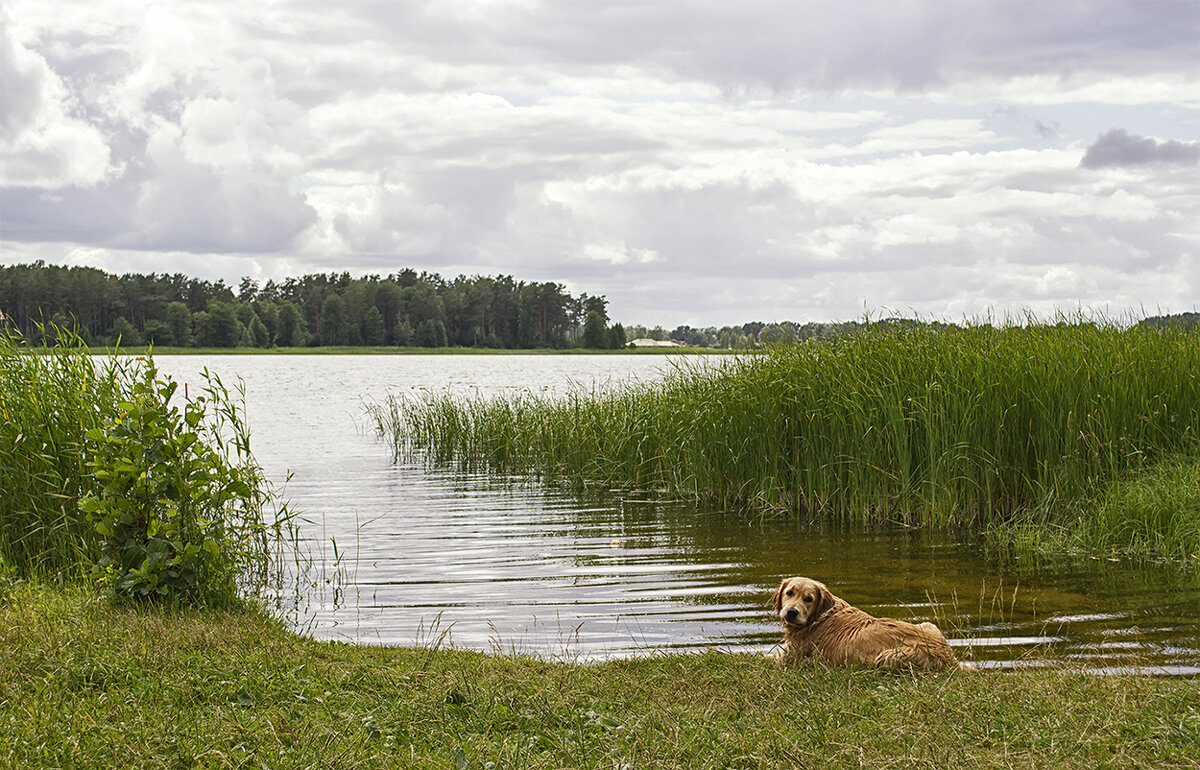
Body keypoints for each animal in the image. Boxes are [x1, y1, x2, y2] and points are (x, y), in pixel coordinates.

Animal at [772, 573, 960, 666]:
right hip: (929, 625)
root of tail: (950, 660)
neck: (820, 616)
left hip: (889, 656)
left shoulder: (790, 657)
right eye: (790, 592)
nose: (791, 612)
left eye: (808, 599)